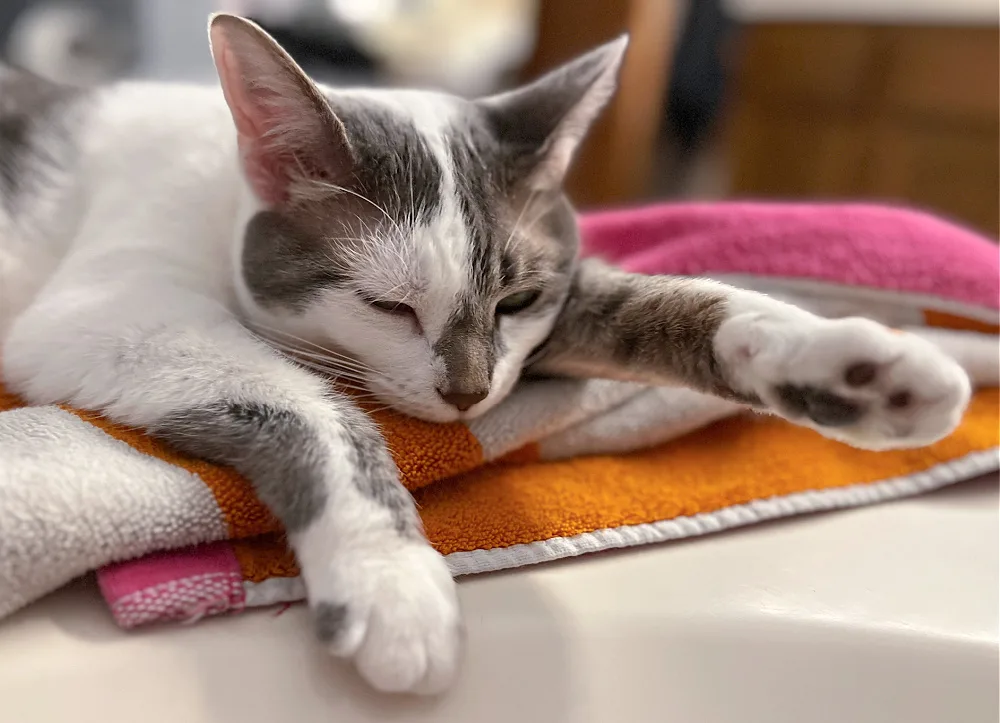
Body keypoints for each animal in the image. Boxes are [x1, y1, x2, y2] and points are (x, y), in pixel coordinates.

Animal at [0, 14, 968, 696]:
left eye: (517, 300)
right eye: (387, 304)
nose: (467, 394)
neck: (225, 191)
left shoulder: (550, 311)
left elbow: (667, 302)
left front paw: (857, 366)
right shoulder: (113, 307)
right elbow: (314, 407)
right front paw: (389, 576)